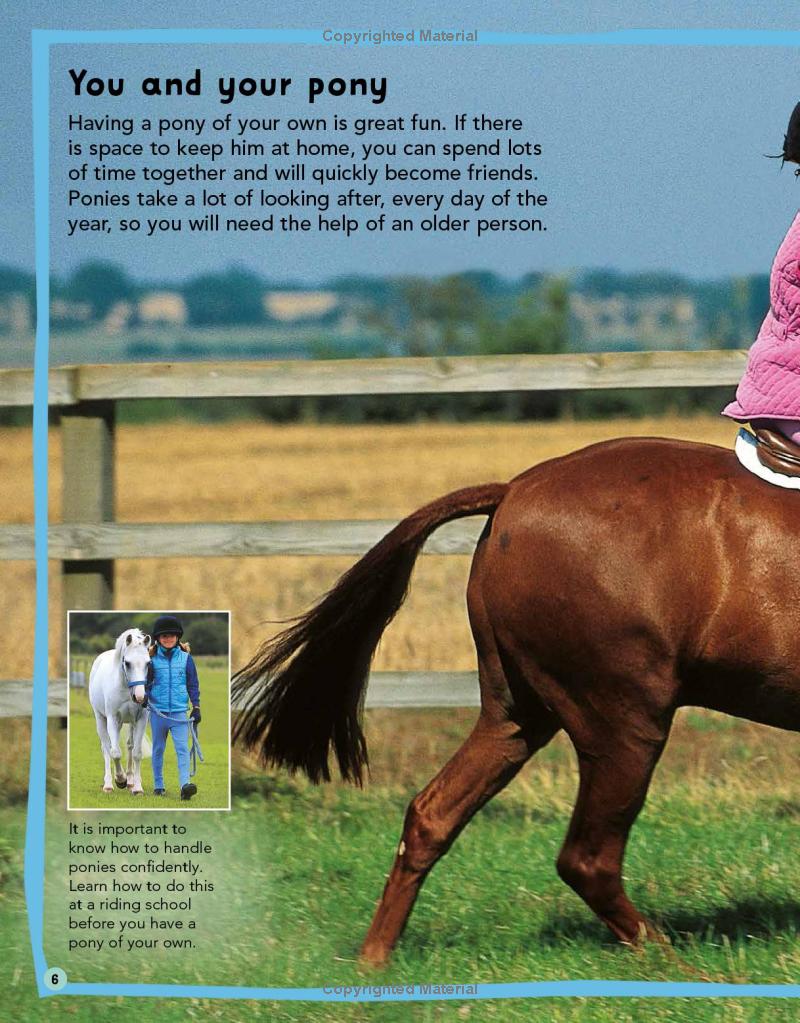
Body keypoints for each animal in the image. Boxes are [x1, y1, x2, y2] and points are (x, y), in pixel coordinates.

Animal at [88, 628, 151, 796]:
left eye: (148, 663)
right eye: (127, 663)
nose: (140, 697)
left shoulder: (141, 719)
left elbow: (136, 753)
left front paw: (137, 788)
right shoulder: (113, 718)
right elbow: (115, 752)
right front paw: (120, 780)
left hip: (129, 723)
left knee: (129, 745)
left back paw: (130, 781)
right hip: (101, 719)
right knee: (106, 748)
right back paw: (109, 784)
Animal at [232, 436, 800, 965]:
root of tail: (513, 491)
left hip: (516, 717)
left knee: (431, 815)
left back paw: (373, 962)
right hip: (624, 726)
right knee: (587, 860)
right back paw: (674, 965)